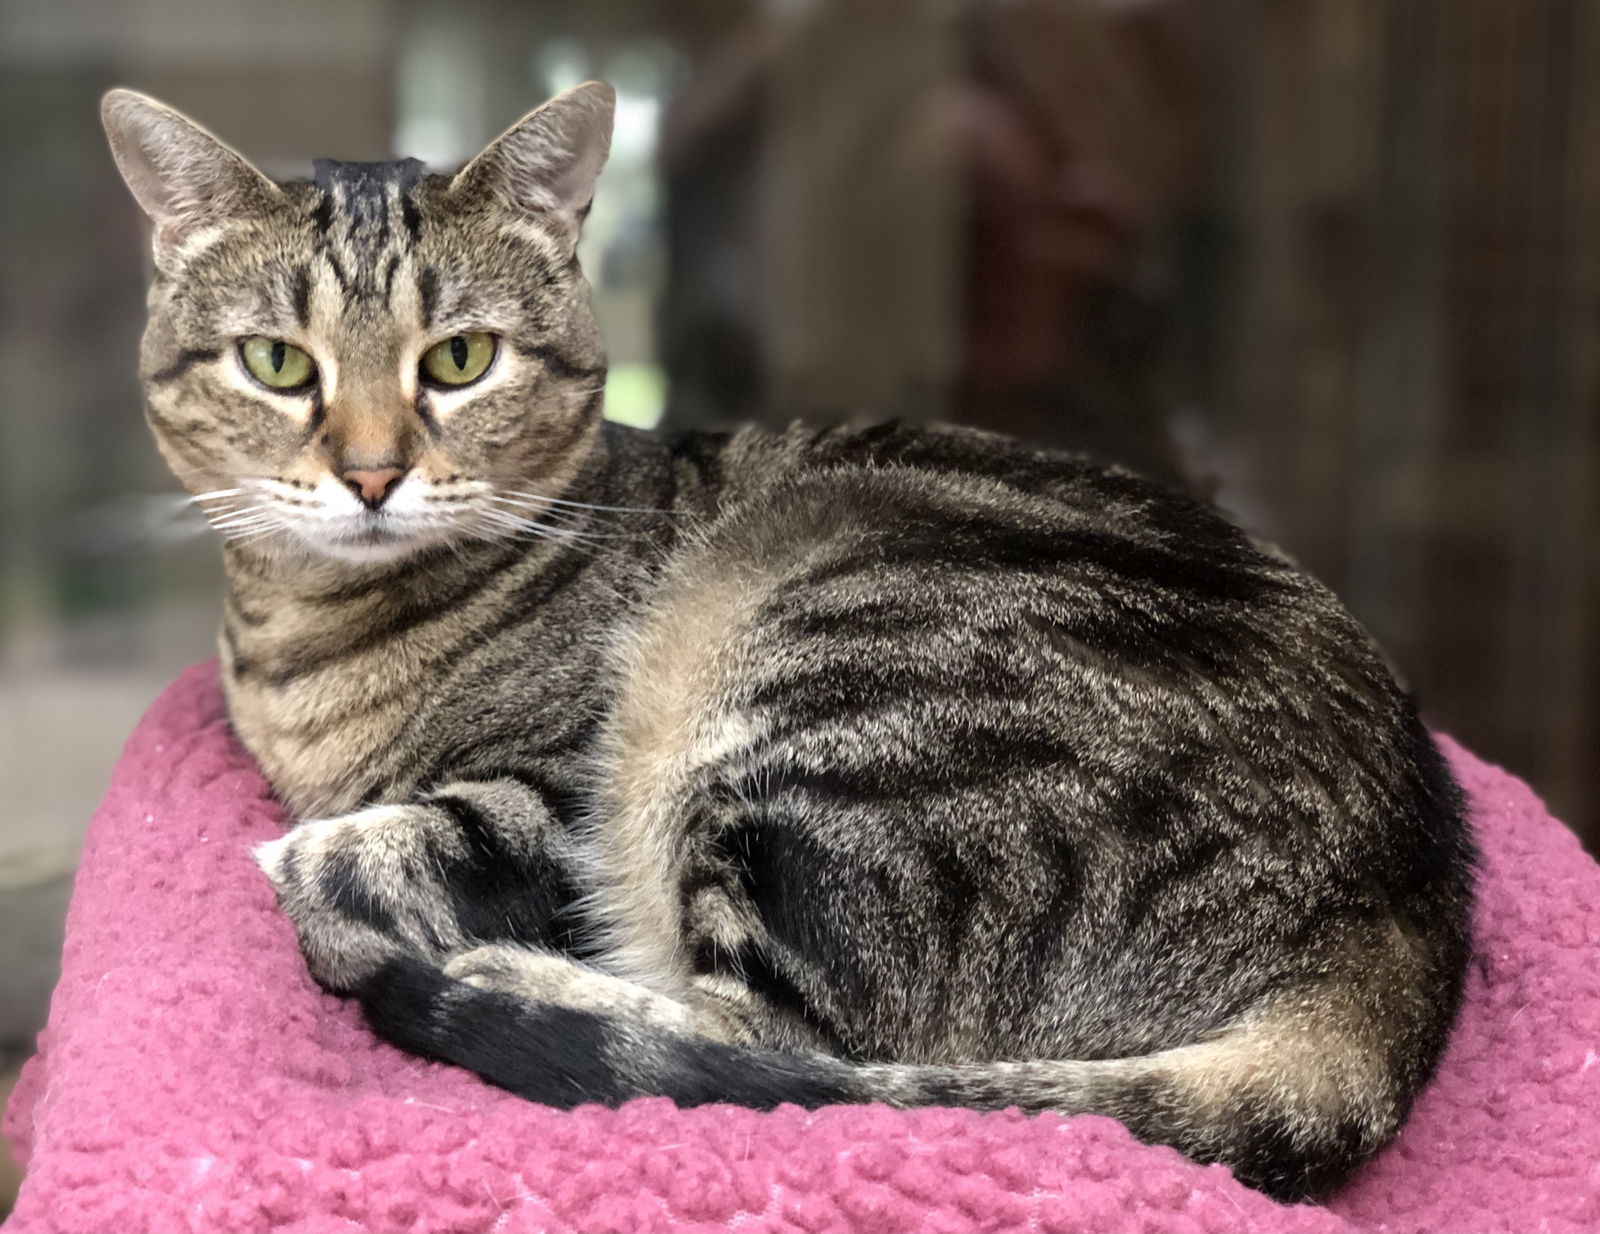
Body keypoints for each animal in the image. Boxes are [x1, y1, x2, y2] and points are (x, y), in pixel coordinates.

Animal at [100, 84, 1472, 1197]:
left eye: (462, 358)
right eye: (279, 364)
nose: (373, 474)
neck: (302, 642)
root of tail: (1409, 914)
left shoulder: (551, 802)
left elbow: (346, 857)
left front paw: (338, 888)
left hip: (832, 723)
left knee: (763, 1056)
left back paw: (499, 977)